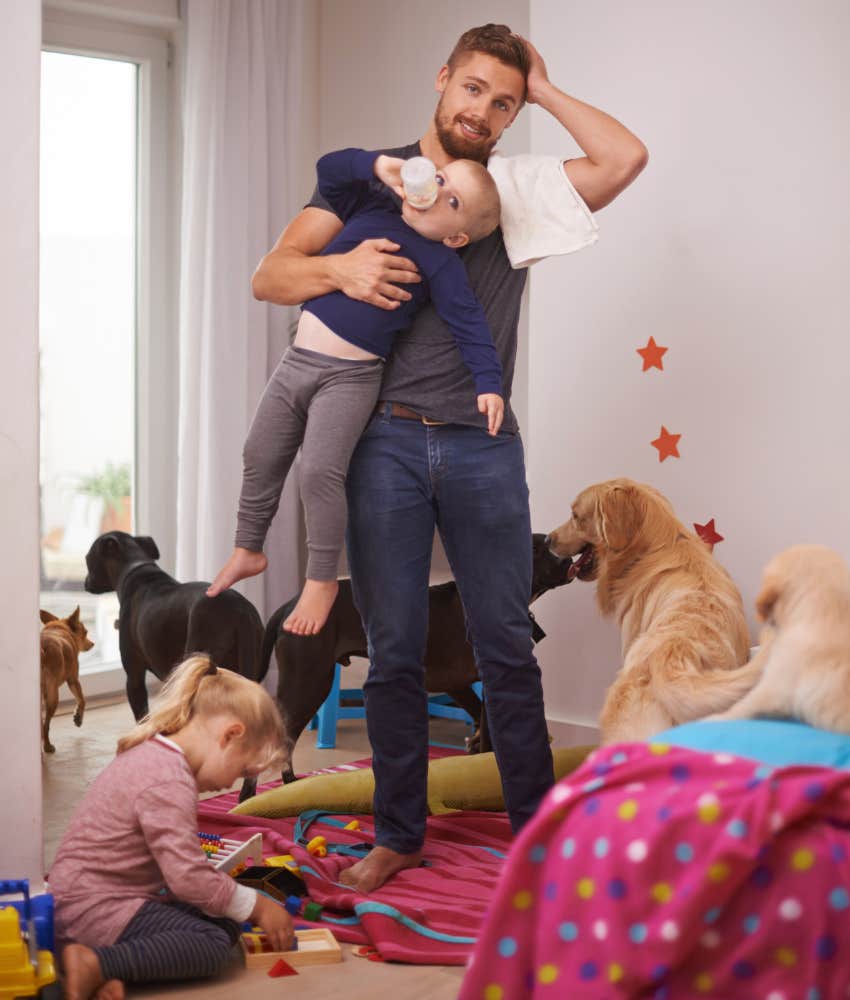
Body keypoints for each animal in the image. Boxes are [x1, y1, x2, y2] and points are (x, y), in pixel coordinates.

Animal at [40, 608, 92, 752]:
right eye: (85, 633)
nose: (92, 643)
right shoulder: (73, 680)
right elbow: (82, 699)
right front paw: (78, 718)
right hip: (52, 697)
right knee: (45, 725)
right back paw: (47, 746)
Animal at [83, 528, 264, 724]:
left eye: (87, 559)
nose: (85, 583)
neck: (135, 567)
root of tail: (240, 610)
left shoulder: (134, 677)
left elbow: (142, 716)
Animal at [262, 532, 572, 780]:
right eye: (536, 550)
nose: (569, 561)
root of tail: (289, 606)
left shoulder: (460, 684)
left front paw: (474, 747)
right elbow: (489, 738)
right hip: (308, 684)